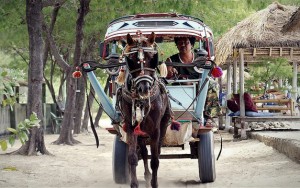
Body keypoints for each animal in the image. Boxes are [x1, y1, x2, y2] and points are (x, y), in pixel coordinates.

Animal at [116, 31, 171, 187]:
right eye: (131, 59)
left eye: (152, 57)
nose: (144, 88)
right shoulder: (131, 127)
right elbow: (133, 157)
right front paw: (134, 183)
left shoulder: (156, 130)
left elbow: (155, 159)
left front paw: (155, 183)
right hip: (141, 132)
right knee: (145, 152)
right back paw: (147, 176)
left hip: (162, 126)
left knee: (156, 151)